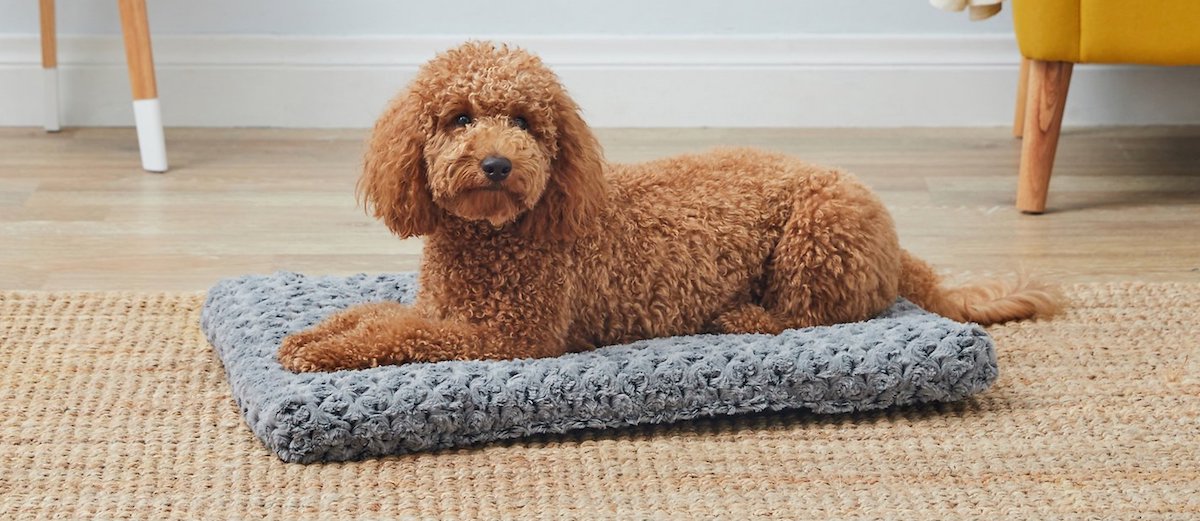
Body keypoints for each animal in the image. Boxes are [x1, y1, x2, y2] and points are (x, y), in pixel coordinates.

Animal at [276, 42, 1056, 372]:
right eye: (459, 118)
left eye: (525, 122)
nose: (498, 163)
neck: (496, 235)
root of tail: (896, 239)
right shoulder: (446, 307)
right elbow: (378, 313)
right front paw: (313, 333)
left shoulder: (509, 335)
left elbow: (395, 334)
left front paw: (324, 352)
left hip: (816, 235)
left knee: (811, 315)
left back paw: (741, 316)